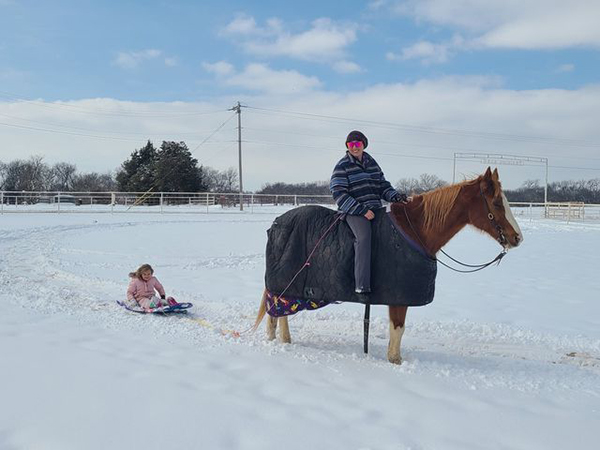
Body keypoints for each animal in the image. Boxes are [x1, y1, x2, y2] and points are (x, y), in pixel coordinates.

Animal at [252, 167, 520, 364]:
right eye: (497, 203)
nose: (517, 237)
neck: (416, 230)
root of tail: (276, 223)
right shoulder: (399, 298)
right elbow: (398, 330)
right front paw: (395, 361)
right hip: (285, 284)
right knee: (277, 312)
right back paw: (282, 341)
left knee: (278, 313)